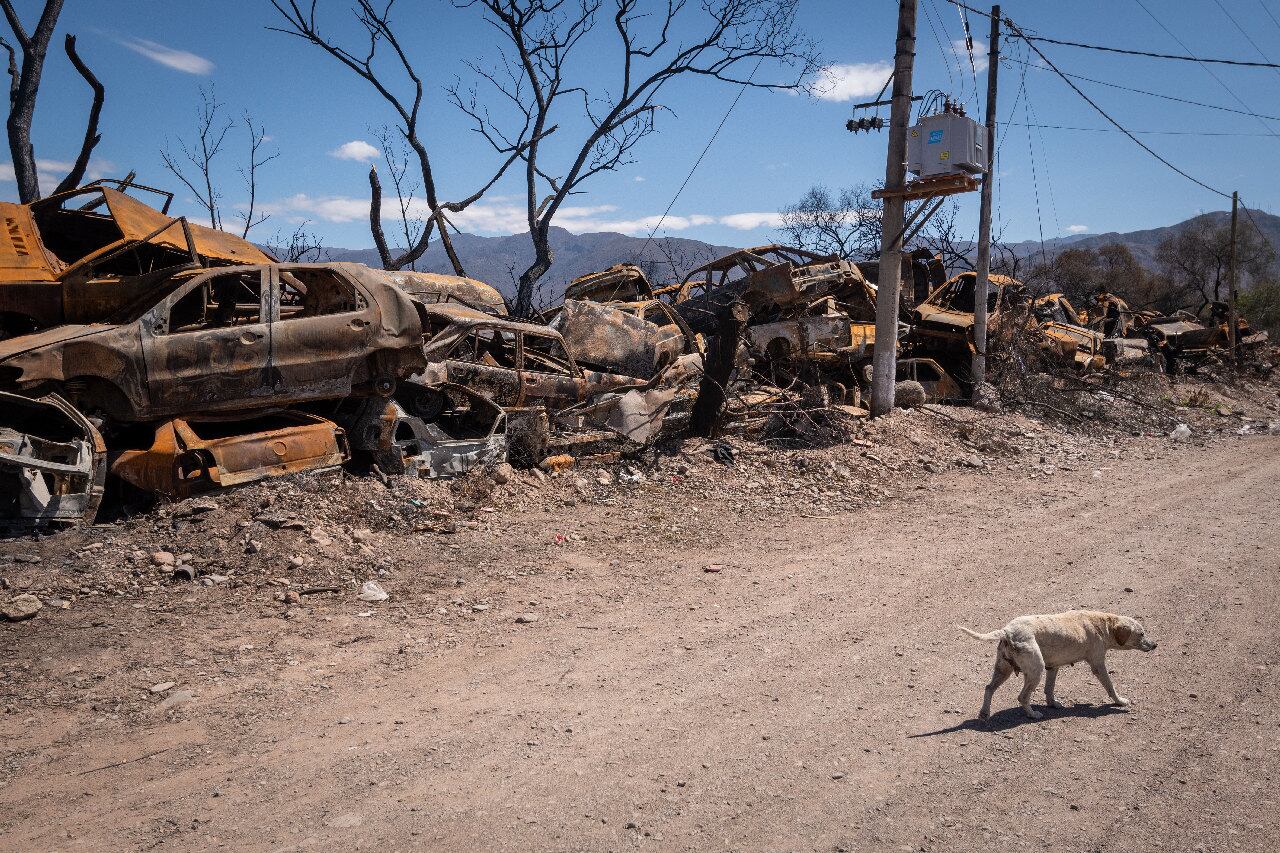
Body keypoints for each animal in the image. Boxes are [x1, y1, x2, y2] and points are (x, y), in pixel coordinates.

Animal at [962, 607, 1162, 722]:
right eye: (1142, 634)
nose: (1155, 645)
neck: (1101, 624)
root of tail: (1007, 630)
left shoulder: (1053, 667)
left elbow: (1049, 689)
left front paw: (1053, 703)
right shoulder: (1098, 665)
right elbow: (1110, 687)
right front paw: (1120, 701)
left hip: (1003, 670)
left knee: (989, 688)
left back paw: (984, 713)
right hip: (1035, 671)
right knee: (1022, 697)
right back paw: (1032, 714)